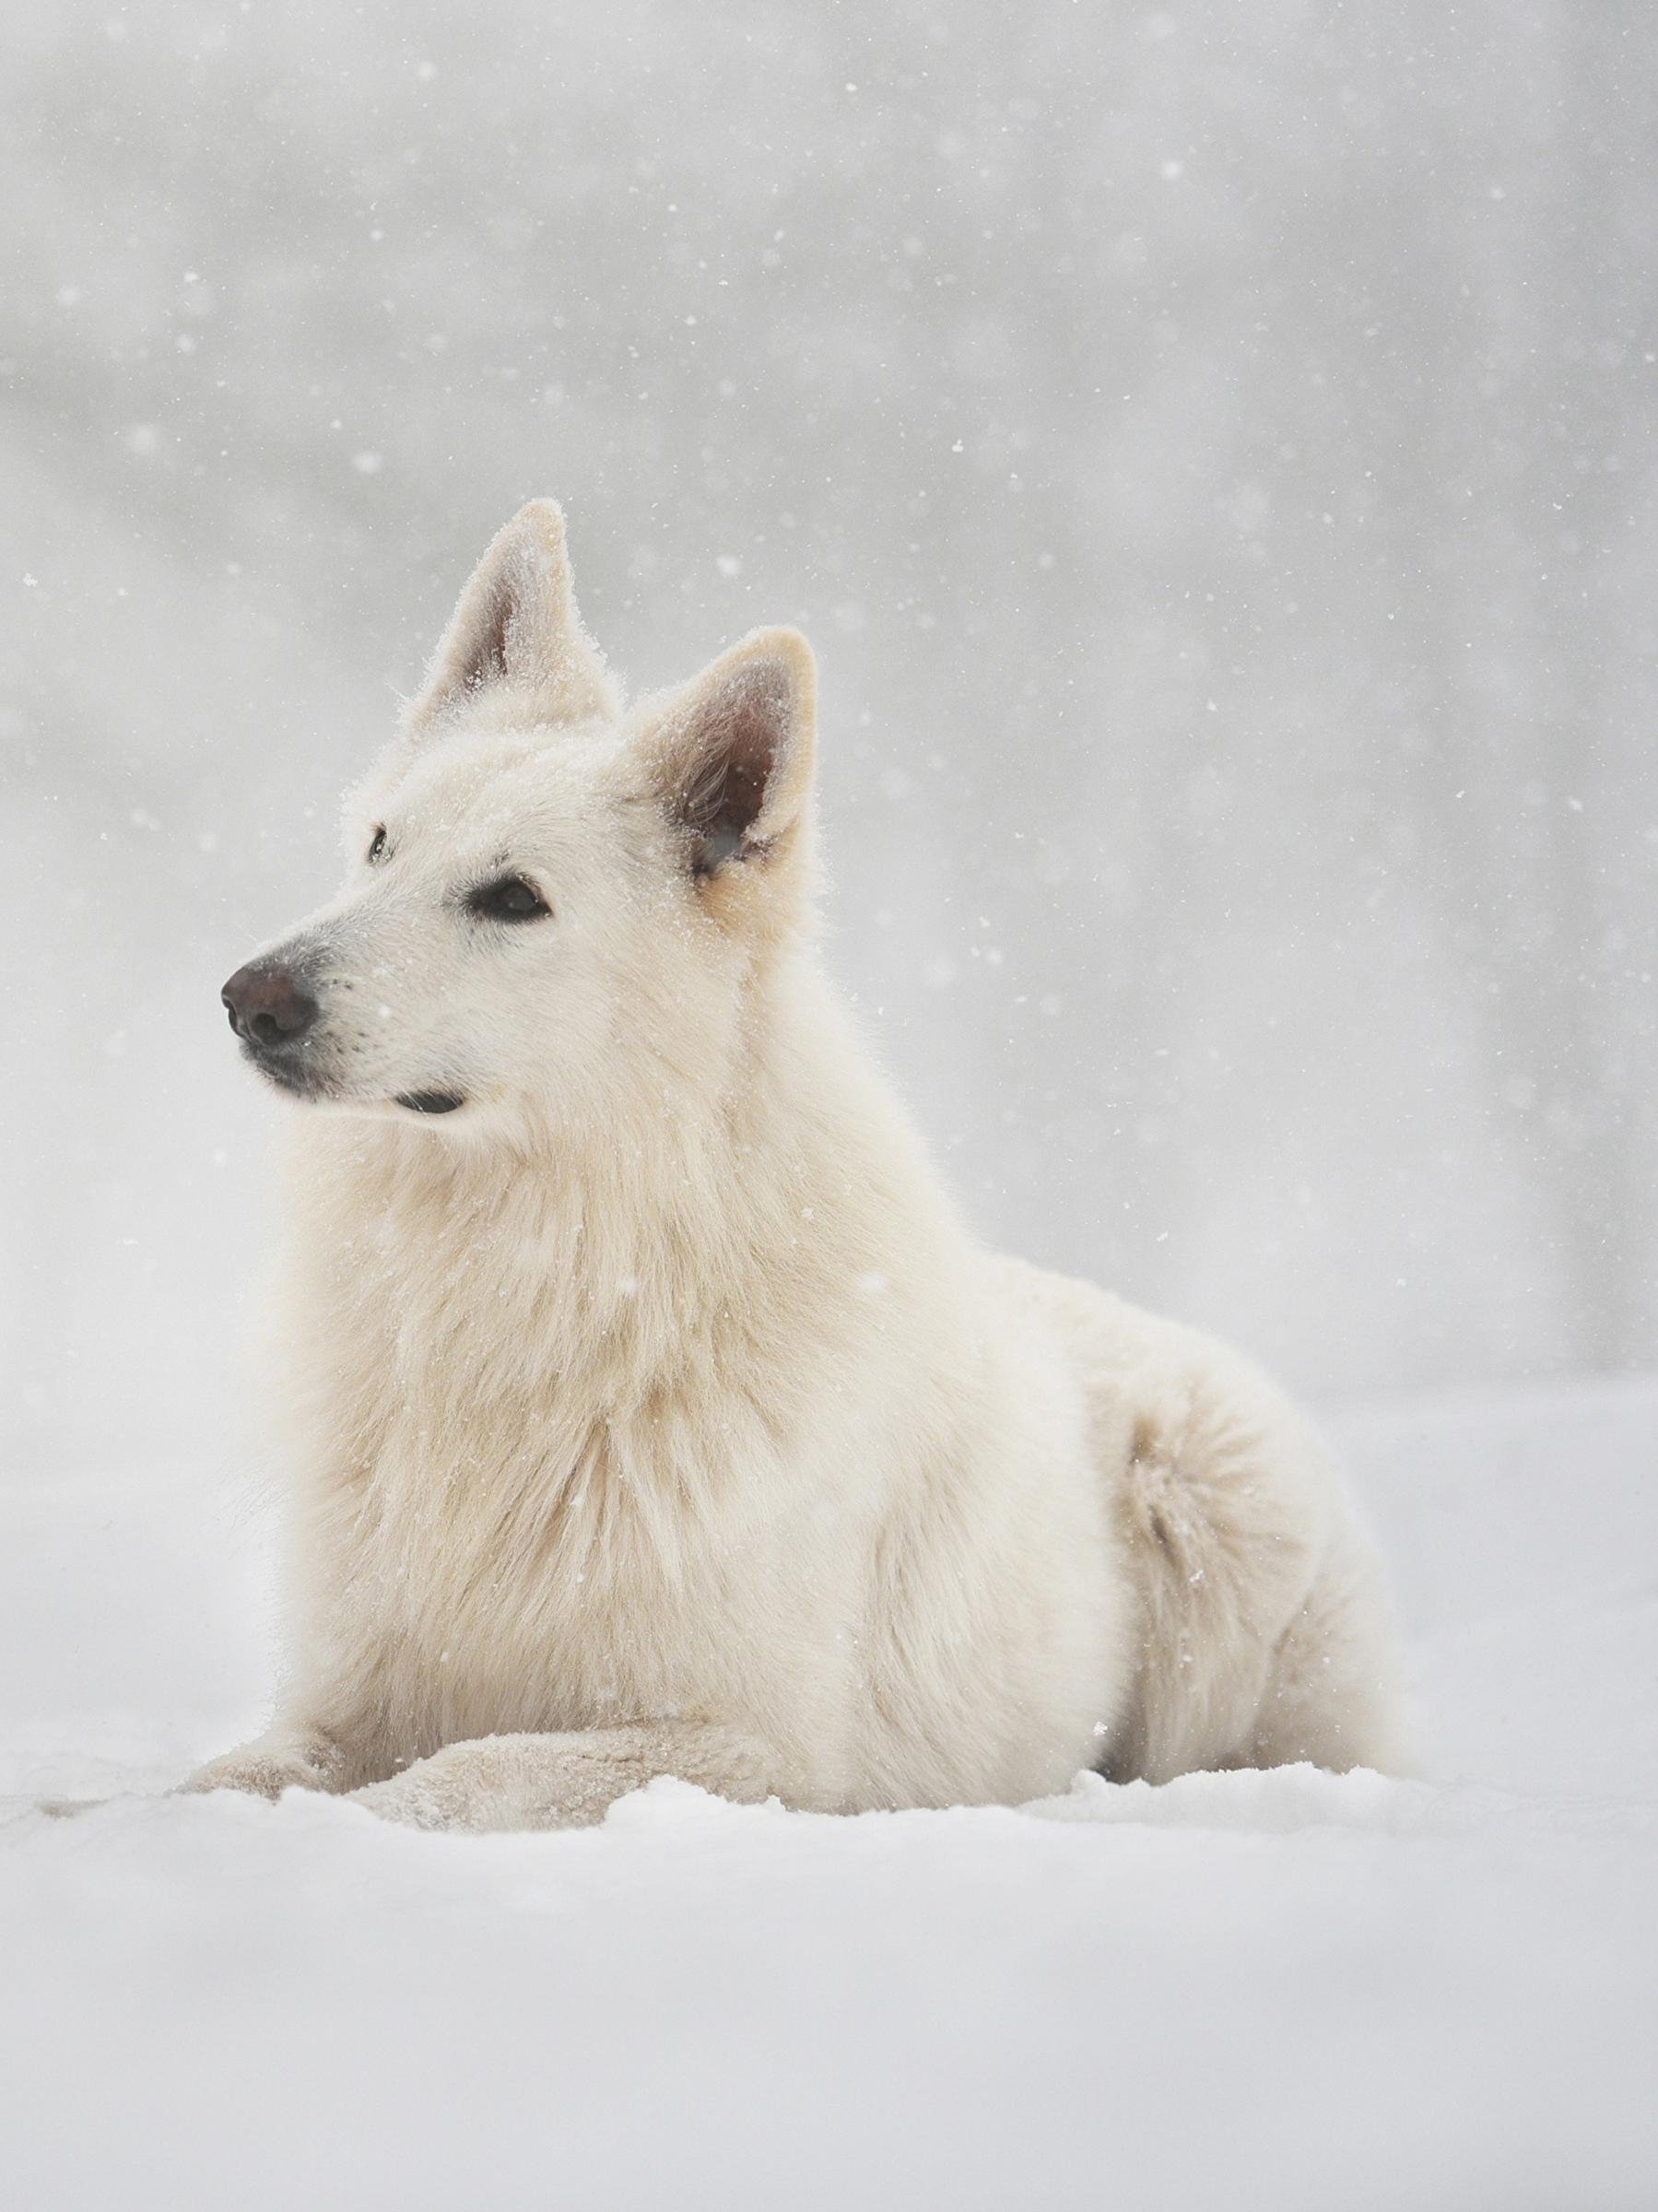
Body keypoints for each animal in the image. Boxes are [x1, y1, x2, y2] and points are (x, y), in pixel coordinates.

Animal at [194, 501, 1415, 1831]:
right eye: (379, 846)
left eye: (512, 899)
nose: (250, 999)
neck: (550, 1285)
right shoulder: (346, 1698)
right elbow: (226, 1775)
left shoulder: (758, 1750)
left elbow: (458, 1777)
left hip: (1220, 1539)